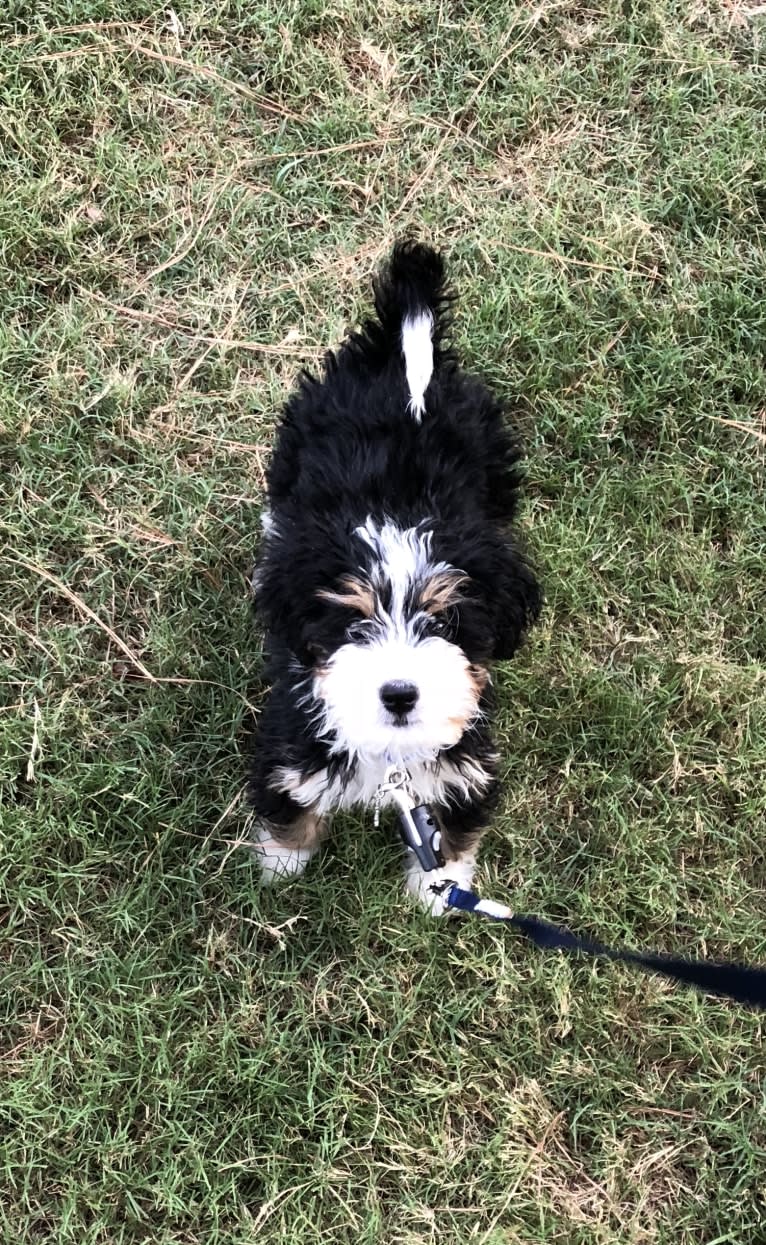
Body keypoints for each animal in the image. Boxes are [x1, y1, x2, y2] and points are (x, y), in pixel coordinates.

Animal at [250, 237, 540, 911]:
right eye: (352, 622)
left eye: (445, 622)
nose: (401, 694)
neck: (392, 750)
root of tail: (403, 368)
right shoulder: (295, 741)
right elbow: (292, 805)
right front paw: (282, 866)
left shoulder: (463, 761)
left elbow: (456, 826)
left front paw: (440, 889)